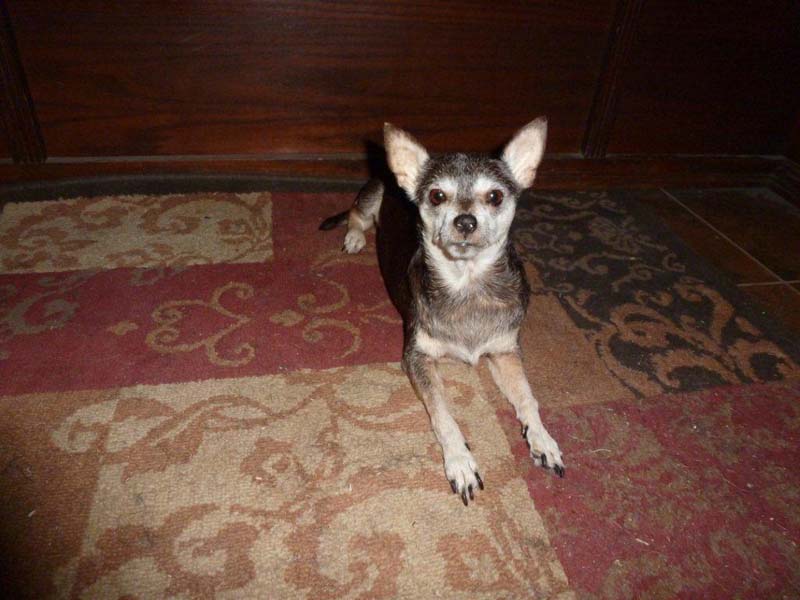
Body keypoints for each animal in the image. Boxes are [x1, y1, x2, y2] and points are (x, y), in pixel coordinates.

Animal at [320, 118, 564, 506]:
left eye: (495, 197)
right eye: (436, 195)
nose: (465, 221)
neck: (467, 284)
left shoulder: (505, 352)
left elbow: (528, 398)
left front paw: (542, 439)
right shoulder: (417, 358)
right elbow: (443, 413)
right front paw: (460, 462)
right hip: (371, 196)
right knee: (357, 217)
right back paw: (355, 238)